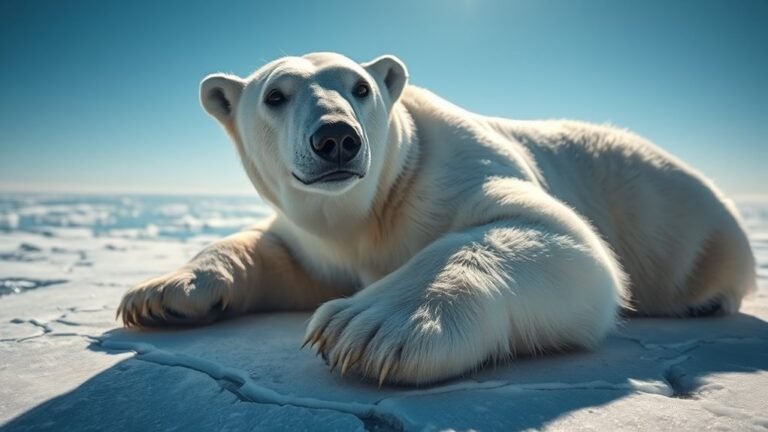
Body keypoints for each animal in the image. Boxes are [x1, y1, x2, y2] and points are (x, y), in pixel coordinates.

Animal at [118, 52, 756, 385]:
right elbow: (275, 253)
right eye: (276, 95)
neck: (369, 209)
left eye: (360, 86)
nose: (336, 138)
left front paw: (367, 327)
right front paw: (161, 294)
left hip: (685, 224)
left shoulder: (452, 169)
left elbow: (552, 232)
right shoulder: (318, 239)